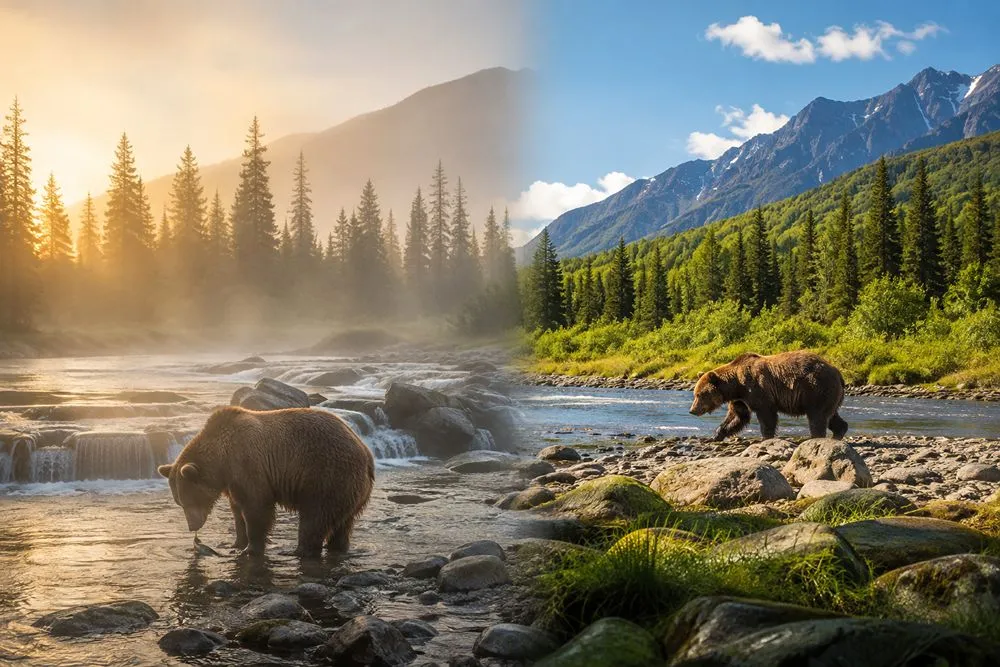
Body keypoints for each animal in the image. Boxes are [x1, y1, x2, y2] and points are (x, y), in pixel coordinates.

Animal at [158, 406, 374, 557]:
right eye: (180, 502)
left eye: (189, 500)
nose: (192, 526)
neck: (222, 462)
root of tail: (365, 452)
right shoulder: (232, 482)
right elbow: (237, 510)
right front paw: (236, 543)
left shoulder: (248, 464)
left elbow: (256, 507)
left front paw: (250, 548)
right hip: (350, 490)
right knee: (343, 523)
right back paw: (337, 547)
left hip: (327, 475)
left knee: (315, 517)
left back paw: (299, 550)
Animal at [689, 351, 848, 441]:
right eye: (695, 394)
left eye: (700, 394)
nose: (692, 410)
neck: (735, 385)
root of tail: (838, 373)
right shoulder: (740, 399)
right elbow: (738, 417)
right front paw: (717, 434)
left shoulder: (757, 389)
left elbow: (766, 415)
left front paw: (766, 437)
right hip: (829, 395)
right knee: (831, 416)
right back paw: (838, 433)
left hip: (816, 388)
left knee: (817, 417)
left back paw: (816, 437)